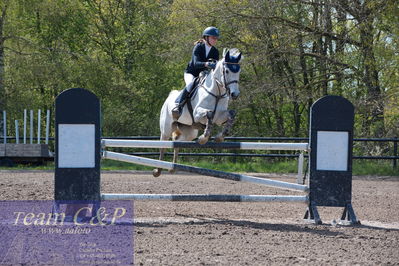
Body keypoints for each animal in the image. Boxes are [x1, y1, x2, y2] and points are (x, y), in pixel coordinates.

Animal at [153, 48, 242, 177]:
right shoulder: (197, 114)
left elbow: (231, 114)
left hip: (189, 131)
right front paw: (204, 138)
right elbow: (209, 114)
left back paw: (172, 168)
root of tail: (169, 97)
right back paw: (158, 170)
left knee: (177, 142)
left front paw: (219, 137)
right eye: (227, 71)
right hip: (166, 128)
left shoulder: (220, 117)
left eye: (238, 71)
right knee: (163, 145)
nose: (235, 94)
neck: (217, 93)